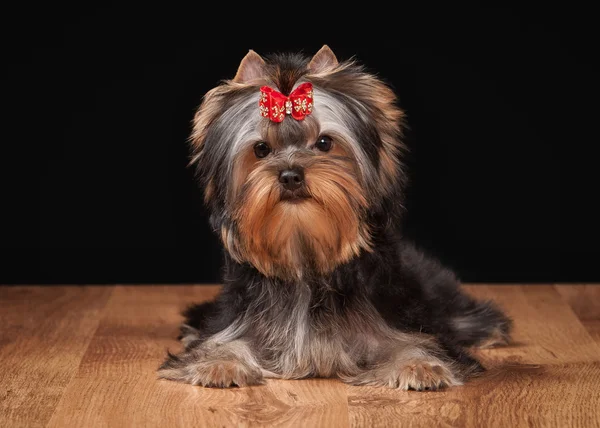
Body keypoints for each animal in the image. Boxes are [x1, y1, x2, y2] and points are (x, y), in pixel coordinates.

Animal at [159, 45, 510, 390]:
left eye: (324, 143)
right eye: (261, 149)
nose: (290, 175)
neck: (303, 257)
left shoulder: (393, 322)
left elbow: (415, 342)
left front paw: (422, 366)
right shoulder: (241, 319)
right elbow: (222, 341)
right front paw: (218, 363)